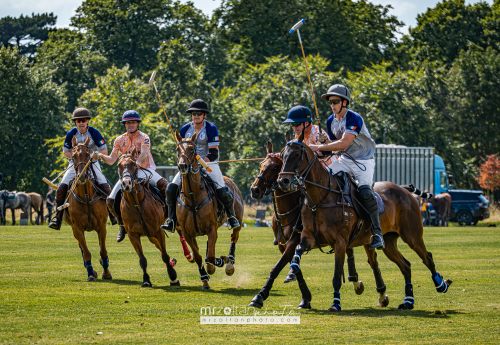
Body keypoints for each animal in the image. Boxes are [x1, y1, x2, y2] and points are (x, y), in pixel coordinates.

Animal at [63, 136, 111, 280]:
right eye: (73, 156)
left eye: (88, 154)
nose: (82, 176)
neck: (86, 197)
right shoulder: (77, 228)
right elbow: (86, 252)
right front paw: (90, 274)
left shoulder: (101, 226)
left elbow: (103, 251)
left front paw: (106, 272)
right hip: (73, 228)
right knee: (81, 248)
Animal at [117, 149, 180, 286]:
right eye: (119, 165)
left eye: (134, 164)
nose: (126, 183)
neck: (137, 205)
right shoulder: (133, 235)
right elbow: (142, 259)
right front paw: (146, 280)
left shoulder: (158, 231)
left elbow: (165, 256)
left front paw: (173, 276)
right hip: (150, 234)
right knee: (157, 245)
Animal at [175, 130, 243, 288]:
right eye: (177, 149)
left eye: (192, 149)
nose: (182, 166)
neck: (192, 197)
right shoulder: (188, 233)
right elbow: (199, 257)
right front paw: (204, 278)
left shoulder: (212, 228)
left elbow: (211, 256)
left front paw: (219, 262)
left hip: (238, 219)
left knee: (234, 236)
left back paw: (229, 264)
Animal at [250, 137, 386, 310]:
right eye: (261, 164)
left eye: (275, 167)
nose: (255, 190)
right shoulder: (285, 244)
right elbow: (291, 267)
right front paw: (304, 297)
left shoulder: (295, 241)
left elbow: (279, 267)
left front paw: (261, 296)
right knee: (352, 253)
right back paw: (357, 282)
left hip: (367, 240)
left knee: (373, 262)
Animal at [278, 132, 454, 312]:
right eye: (282, 155)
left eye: (297, 155)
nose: (283, 181)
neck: (321, 198)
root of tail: (405, 190)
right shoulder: (310, 237)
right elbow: (298, 251)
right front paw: (292, 272)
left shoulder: (340, 243)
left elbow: (336, 277)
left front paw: (336, 304)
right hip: (389, 242)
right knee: (406, 265)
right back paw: (408, 301)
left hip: (412, 235)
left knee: (427, 257)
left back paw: (440, 284)